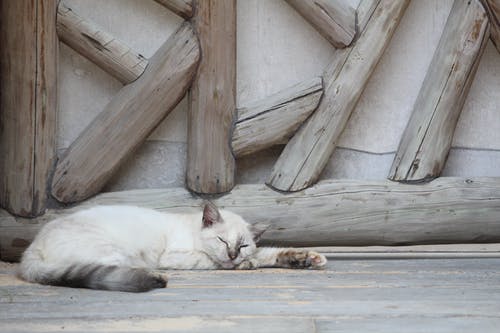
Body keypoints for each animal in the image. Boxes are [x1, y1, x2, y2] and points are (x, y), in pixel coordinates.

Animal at [18, 200, 328, 290]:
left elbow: (272, 253)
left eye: (241, 245)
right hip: (118, 253)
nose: (232, 255)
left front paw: (309, 259)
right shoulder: (178, 256)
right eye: (222, 241)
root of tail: (30, 250)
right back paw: (156, 278)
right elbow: (214, 263)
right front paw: (244, 266)